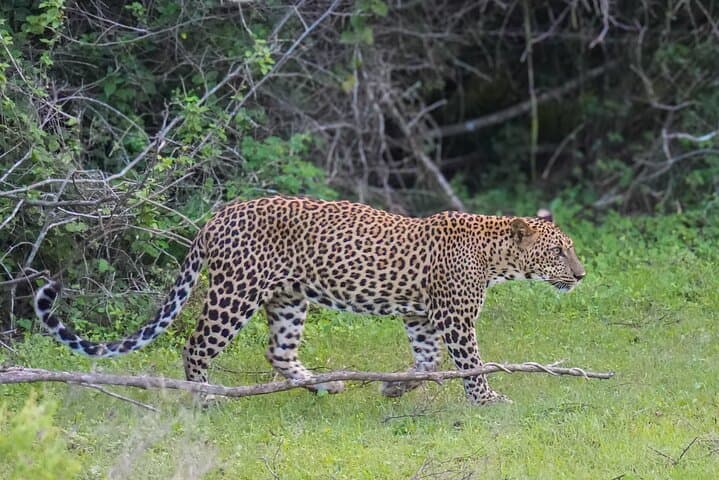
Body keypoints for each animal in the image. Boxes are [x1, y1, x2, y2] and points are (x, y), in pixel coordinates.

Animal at [34, 196, 585, 405]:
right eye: (559, 251)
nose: (580, 275)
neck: (496, 256)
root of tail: (216, 217)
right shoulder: (454, 318)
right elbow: (470, 364)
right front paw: (488, 400)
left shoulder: (421, 318)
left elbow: (427, 363)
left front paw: (393, 388)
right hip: (235, 291)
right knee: (196, 346)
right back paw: (207, 398)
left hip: (288, 299)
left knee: (277, 350)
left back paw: (323, 385)